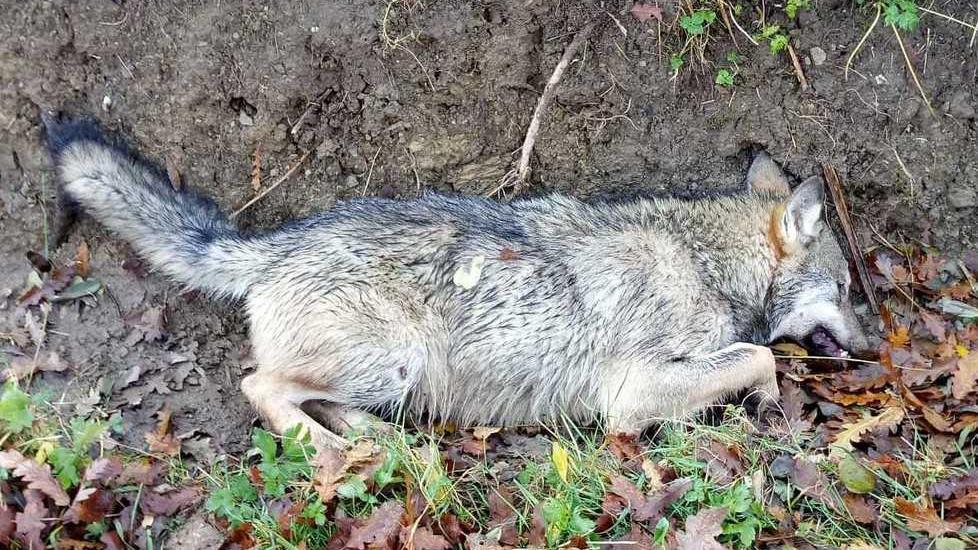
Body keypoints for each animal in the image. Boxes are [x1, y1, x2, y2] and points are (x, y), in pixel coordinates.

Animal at [44, 114, 868, 450]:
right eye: (846, 289)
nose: (872, 347)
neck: (705, 260)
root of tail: (272, 246)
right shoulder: (629, 392)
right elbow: (759, 356)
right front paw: (767, 399)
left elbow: (755, 351)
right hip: (394, 355)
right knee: (261, 387)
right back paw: (335, 452)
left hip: (391, 371)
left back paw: (368, 434)